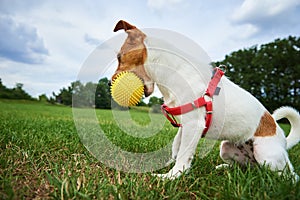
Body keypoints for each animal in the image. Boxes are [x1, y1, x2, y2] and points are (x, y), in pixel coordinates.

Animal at [110, 19, 300, 181]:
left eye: (119, 57)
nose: (109, 82)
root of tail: (283, 140)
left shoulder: (193, 124)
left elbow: (183, 154)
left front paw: (172, 176)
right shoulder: (185, 124)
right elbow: (176, 147)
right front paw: (167, 165)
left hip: (267, 156)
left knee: (289, 176)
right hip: (226, 148)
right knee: (247, 168)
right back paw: (224, 168)